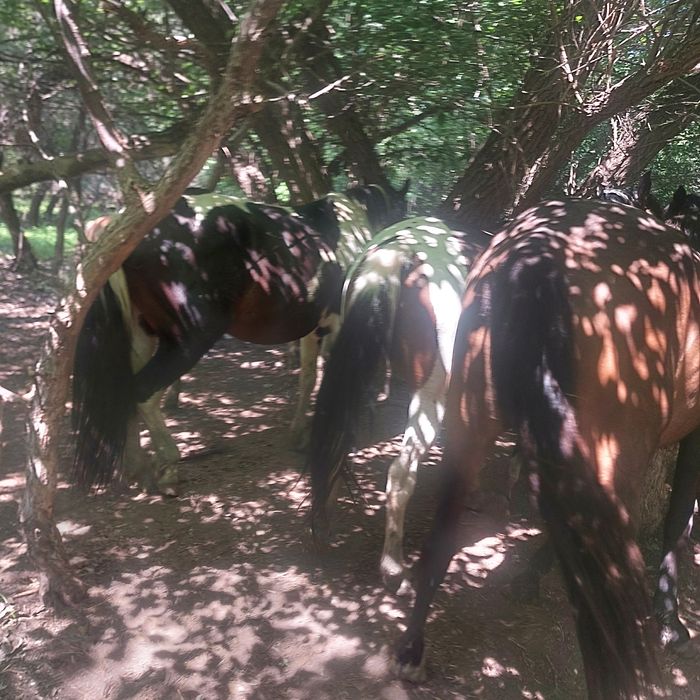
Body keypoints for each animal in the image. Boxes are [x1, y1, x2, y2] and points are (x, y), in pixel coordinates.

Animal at [72, 183, 408, 493]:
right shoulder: (338, 325)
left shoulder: (313, 330)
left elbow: (309, 379)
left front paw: (299, 434)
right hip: (189, 340)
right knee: (143, 393)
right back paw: (167, 467)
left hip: (141, 336)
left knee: (126, 390)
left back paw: (137, 466)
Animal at [306, 217, 489, 590]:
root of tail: (398, 255)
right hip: (429, 397)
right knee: (400, 474)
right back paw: (393, 566)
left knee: (337, 442)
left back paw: (324, 521)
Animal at [394, 198, 700, 699]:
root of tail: (539, 252)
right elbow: (679, 520)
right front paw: (672, 622)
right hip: (612, 455)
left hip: (468, 421)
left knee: (442, 535)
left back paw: (412, 651)